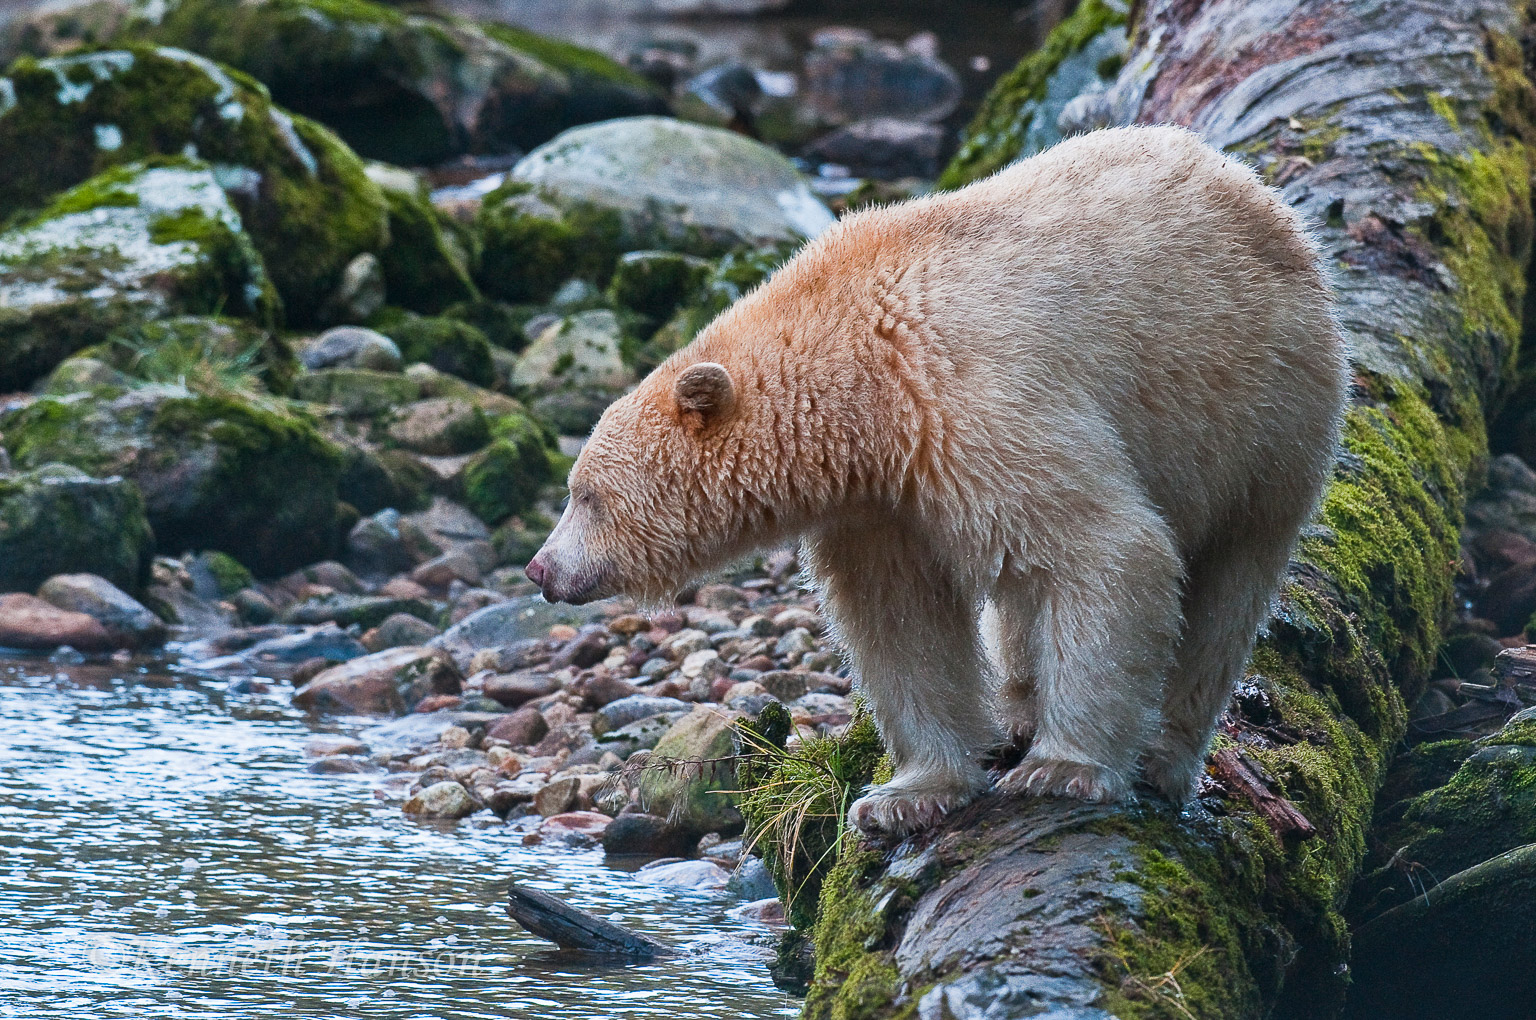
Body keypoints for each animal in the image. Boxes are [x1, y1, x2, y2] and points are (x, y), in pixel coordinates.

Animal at [525, 123, 1345, 835]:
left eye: (585, 496)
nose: (540, 568)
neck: (861, 367)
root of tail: (1253, 187)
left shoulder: (974, 402)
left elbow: (1109, 548)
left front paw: (1062, 771)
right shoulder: (876, 501)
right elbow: (902, 620)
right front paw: (907, 795)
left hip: (1265, 412)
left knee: (1226, 589)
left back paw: (1163, 756)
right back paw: (1019, 709)